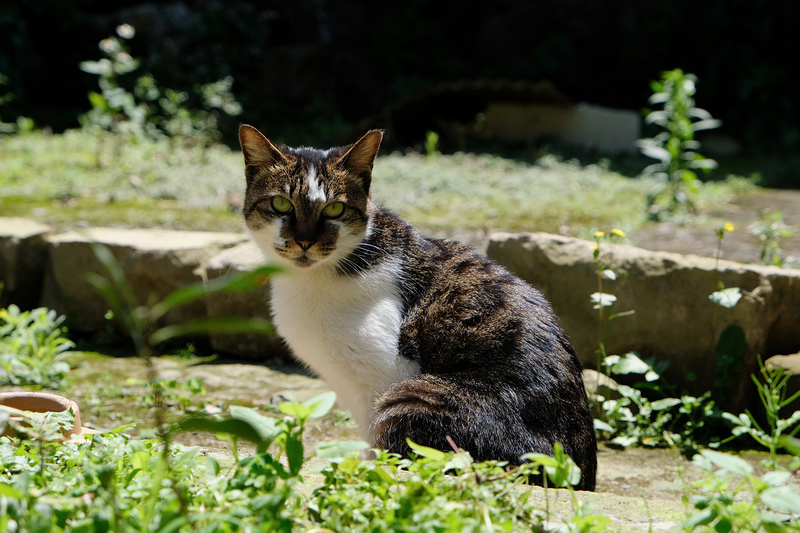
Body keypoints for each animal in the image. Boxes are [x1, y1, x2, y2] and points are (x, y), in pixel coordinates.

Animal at [241, 122, 596, 488]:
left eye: (334, 209)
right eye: (281, 204)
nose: (304, 241)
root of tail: (578, 473)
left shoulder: (386, 377)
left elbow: (378, 448)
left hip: (412, 401)